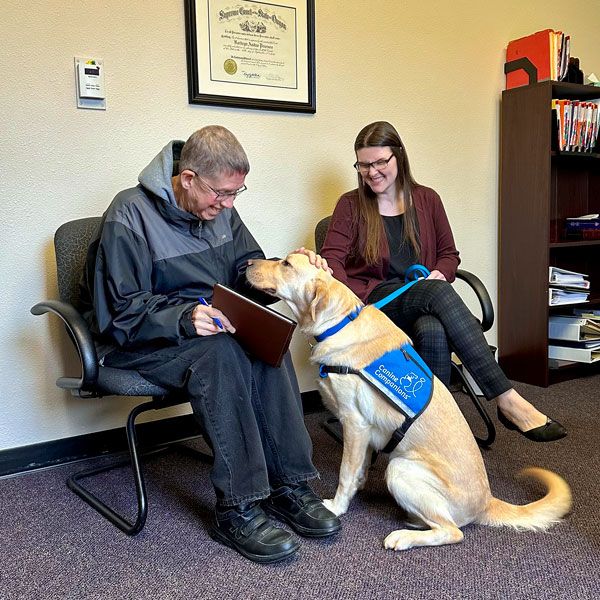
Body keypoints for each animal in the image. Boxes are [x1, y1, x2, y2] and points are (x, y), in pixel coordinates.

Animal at [245, 251, 572, 552]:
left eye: (286, 264)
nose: (247, 264)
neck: (340, 324)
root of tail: (487, 501)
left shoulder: (354, 423)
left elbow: (345, 473)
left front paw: (336, 506)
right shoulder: (363, 432)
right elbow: (359, 469)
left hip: (400, 468)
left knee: (453, 531)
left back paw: (404, 537)